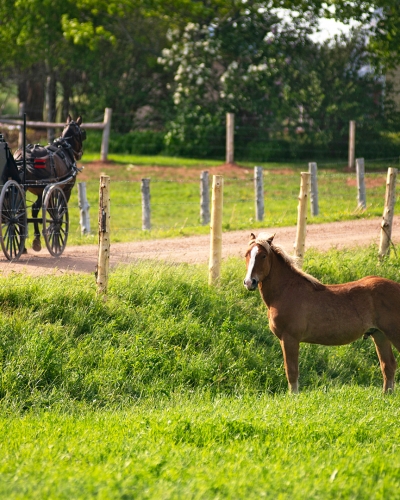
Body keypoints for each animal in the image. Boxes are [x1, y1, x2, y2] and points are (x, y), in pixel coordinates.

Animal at [13, 115, 85, 252]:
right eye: (82, 134)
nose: (80, 154)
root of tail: (24, 156)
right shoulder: (65, 191)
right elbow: (58, 212)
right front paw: (56, 238)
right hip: (42, 189)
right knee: (33, 210)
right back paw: (36, 240)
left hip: (24, 188)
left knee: (20, 212)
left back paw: (23, 246)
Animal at [242, 232, 400, 392]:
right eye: (247, 254)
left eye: (263, 256)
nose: (250, 282)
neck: (285, 290)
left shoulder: (290, 338)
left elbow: (292, 372)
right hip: (379, 335)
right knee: (388, 366)